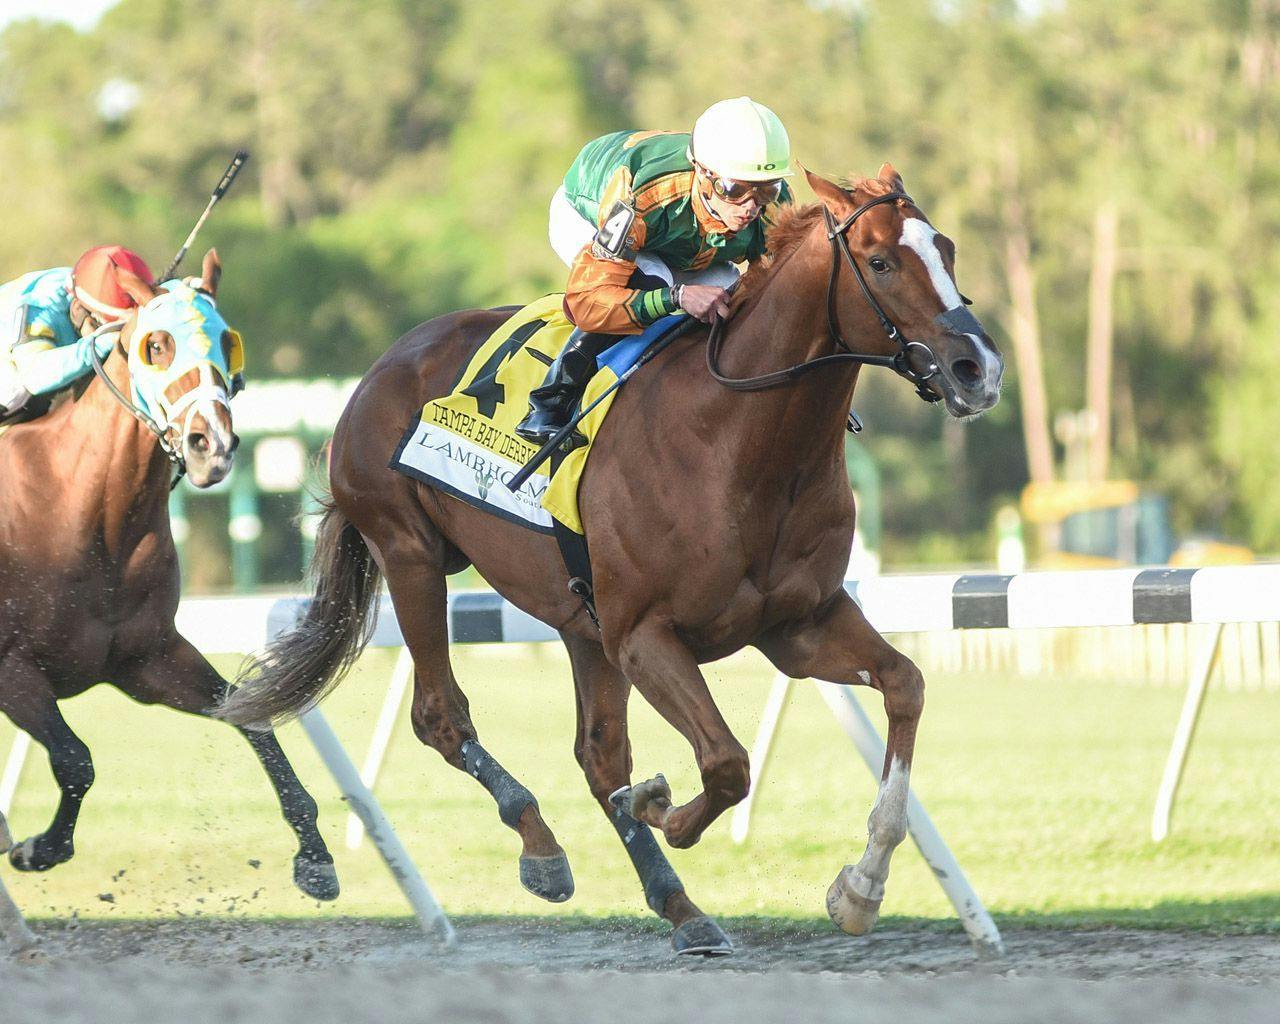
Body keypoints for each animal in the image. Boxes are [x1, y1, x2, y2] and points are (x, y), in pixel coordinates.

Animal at [0, 252, 337, 901]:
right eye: (156, 345)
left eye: (228, 341)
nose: (213, 445)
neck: (84, 512)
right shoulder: (12, 668)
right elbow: (77, 759)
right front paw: (40, 847)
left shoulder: (148, 658)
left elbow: (247, 716)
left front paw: (315, 856)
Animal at [222, 166, 998, 952]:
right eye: (880, 262)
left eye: (948, 250)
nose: (979, 369)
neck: (736, 441)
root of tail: (381, 365)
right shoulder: (645, 634)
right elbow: (725, 764)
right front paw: (659, 802)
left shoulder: (796, 624)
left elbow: (904, 685)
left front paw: (860, 887)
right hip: (410, 554)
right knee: (442, 715)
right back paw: (543, 847)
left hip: (579, 621)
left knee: (597, 755)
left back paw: (679, 906)